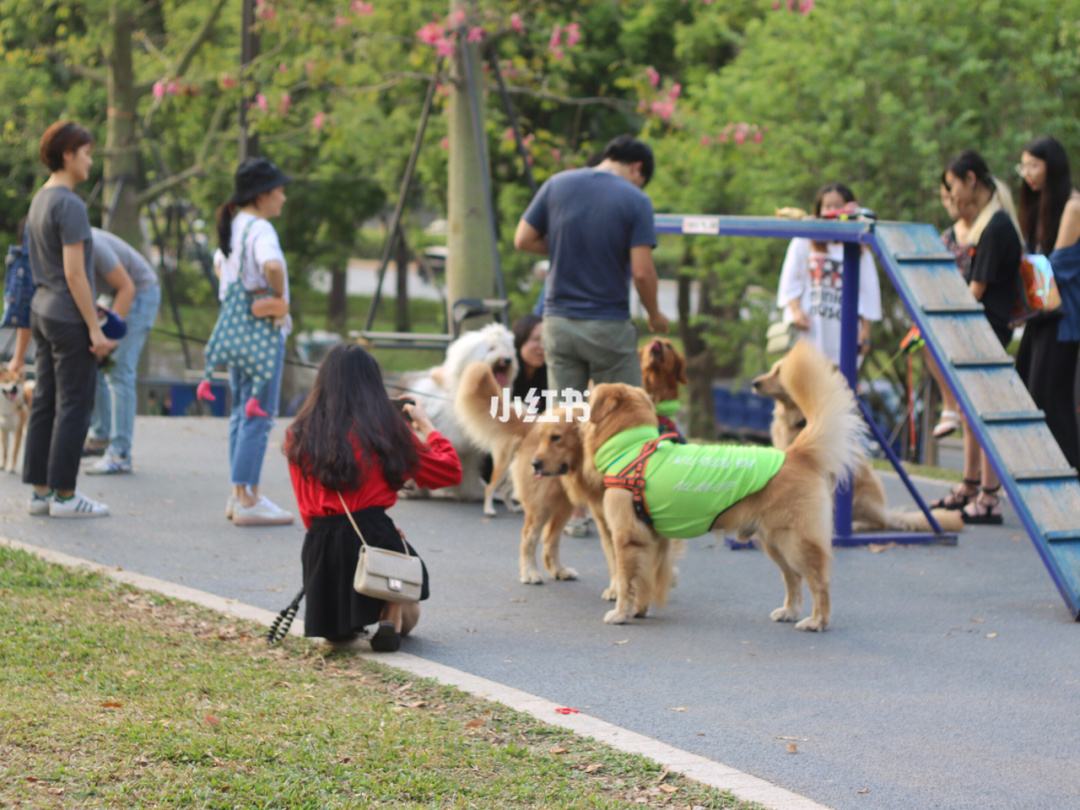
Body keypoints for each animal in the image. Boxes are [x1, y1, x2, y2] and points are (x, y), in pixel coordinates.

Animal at [401, 321, 518, 501]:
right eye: (491, 348)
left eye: (507, 348)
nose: (507, 359)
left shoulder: (468, 450)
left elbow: (468, 470)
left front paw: (472, 492)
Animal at [587, 339, 864, 630]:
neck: (632, 447)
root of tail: (795, 454)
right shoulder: (654, 540)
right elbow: (647, 580)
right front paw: (639, 609)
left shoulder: (626, 537)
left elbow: (626, 580)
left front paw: (621, 612)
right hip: (774, 542)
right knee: (793, 579)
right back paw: (790, 611)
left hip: (796, 542)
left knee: (819, 582)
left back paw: (817, 620)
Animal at [751, 358, 963, 535]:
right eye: (772, 369)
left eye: (779, 371)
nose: (754, 383)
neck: (798, 419)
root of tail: (885, 512)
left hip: (862, 496)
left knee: (878, 524)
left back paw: (854, 526)